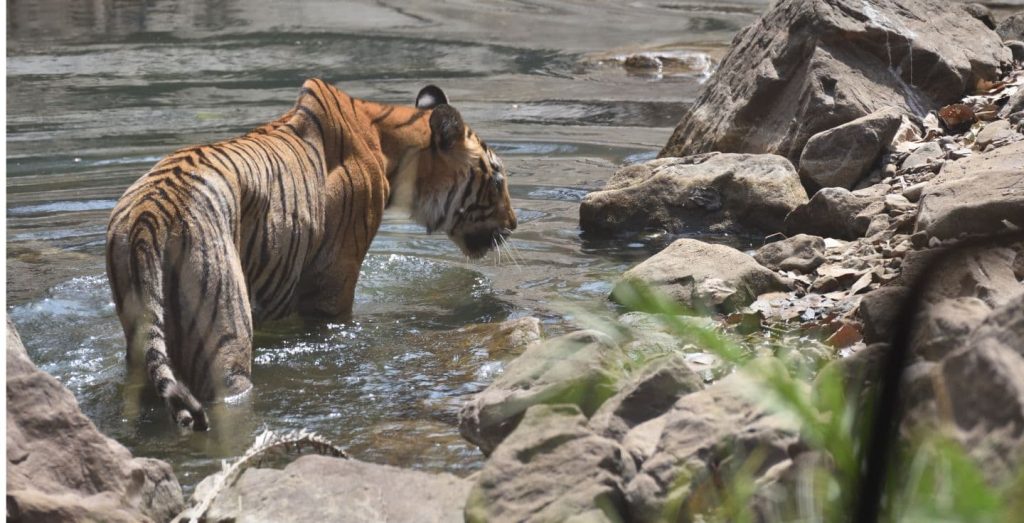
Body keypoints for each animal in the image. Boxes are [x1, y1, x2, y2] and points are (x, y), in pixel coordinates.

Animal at [107, 77, 516, 429]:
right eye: (497, 179)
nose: (514, 223)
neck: (388, 142)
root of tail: (149, 215)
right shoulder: (334, 285)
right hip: (225, 332)